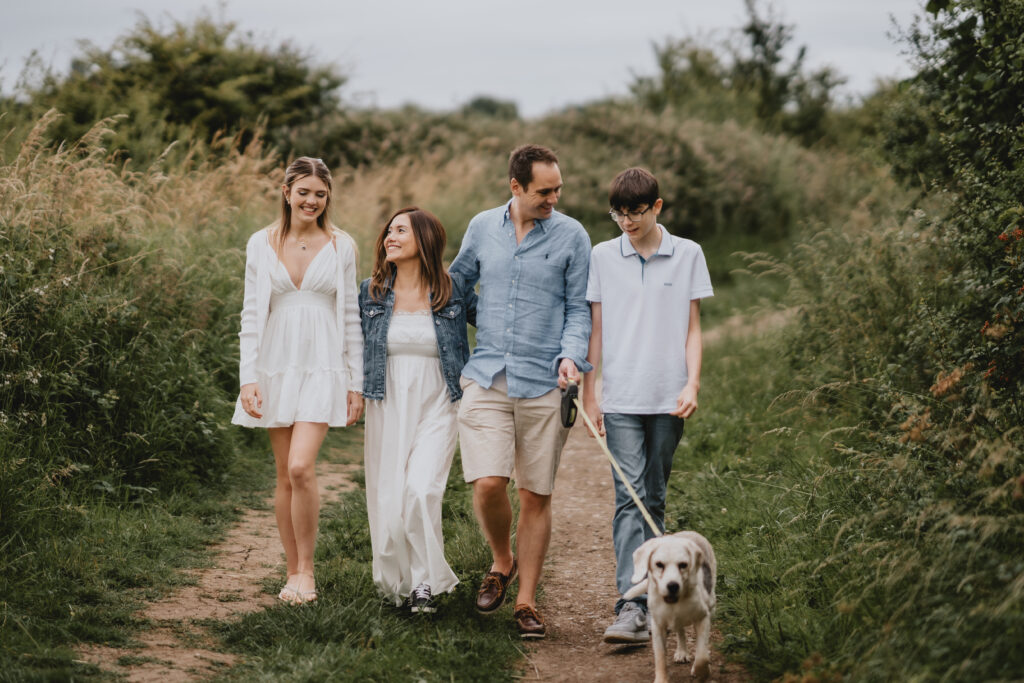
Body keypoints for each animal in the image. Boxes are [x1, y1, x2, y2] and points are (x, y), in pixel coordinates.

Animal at [618, 532, 716, 683]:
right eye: (659, 564)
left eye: (683, 565)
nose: (672, 586)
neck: (676, 602)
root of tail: (689, 532)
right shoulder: (658, 626)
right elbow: (660, 658)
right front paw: (662, 679)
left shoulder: (702, 618)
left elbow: (701, 656)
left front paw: (701, 672)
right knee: (680, 632)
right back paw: (682, 651)